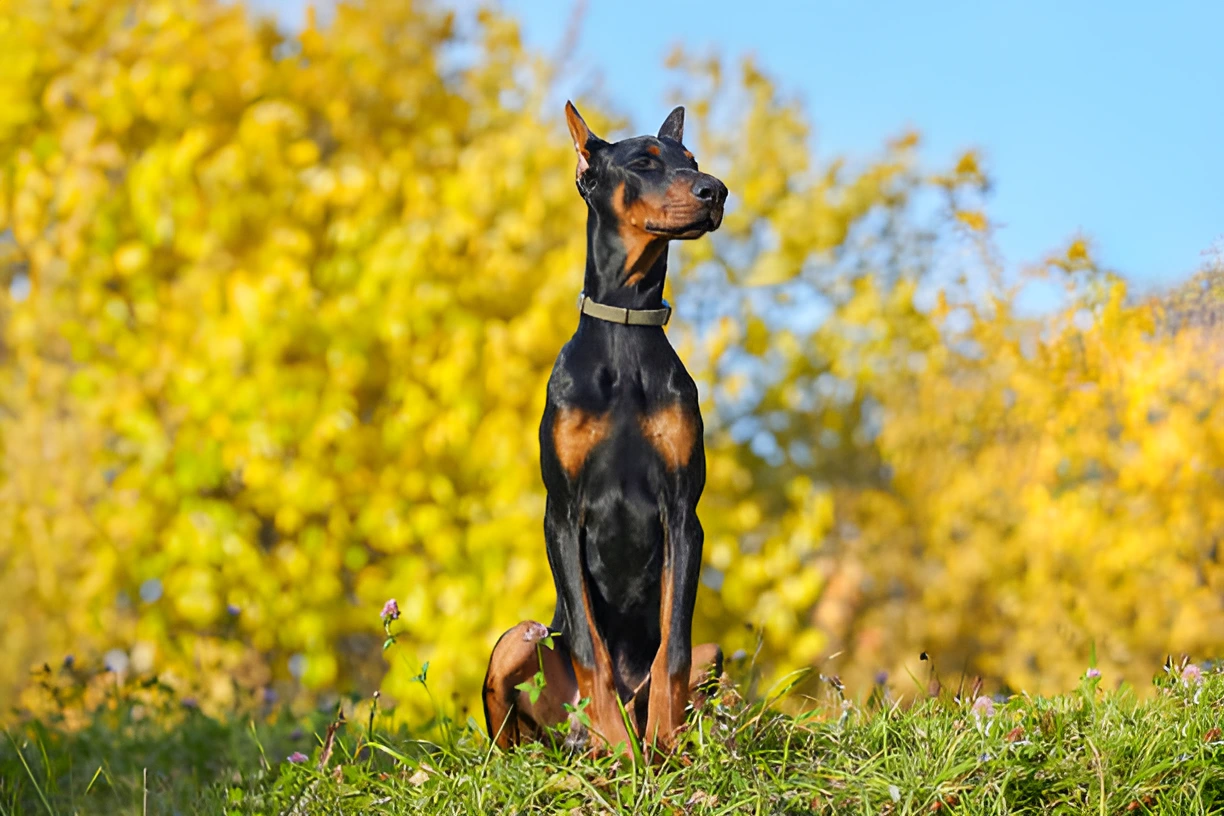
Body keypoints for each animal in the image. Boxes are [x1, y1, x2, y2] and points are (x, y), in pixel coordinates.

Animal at [479, 103, 724, 758]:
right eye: (644, 162)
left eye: (693, 160)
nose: (716, 191)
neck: (626, 326)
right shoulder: (561, 512)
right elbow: (592, 650)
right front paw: (617, 747)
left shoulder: (682, 511)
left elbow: (673, 648)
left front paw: (663, 743)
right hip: (522, 637)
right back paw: (581, 745)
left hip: (716, 652)